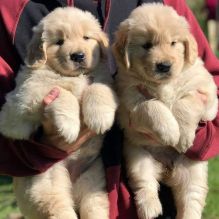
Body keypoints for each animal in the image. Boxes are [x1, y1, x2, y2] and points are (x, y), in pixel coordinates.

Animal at [0, 6, 118, 219]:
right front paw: (69, 126)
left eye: (86, 37)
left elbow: (97, 87)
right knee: (58, 207)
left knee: (94, 205)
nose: (78, 56)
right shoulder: (19, 103)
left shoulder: (106, 81)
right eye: (59, 42)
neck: (73, 76)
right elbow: (61, 91)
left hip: (92, 179)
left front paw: (100, 117)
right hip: (45, 182)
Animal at [113, 3, 217, 219]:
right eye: (146, 45)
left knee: (191, 199)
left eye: (173, 43)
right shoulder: (130, 99)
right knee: (145, 184)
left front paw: (183, 136)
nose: (164, 66)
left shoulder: (207, 93)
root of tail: (168, 172)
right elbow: (152, 106)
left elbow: (185, 104)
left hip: (194, 170)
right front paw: (170, 132)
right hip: (137, 156)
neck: (163, 84)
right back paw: (150, 209)